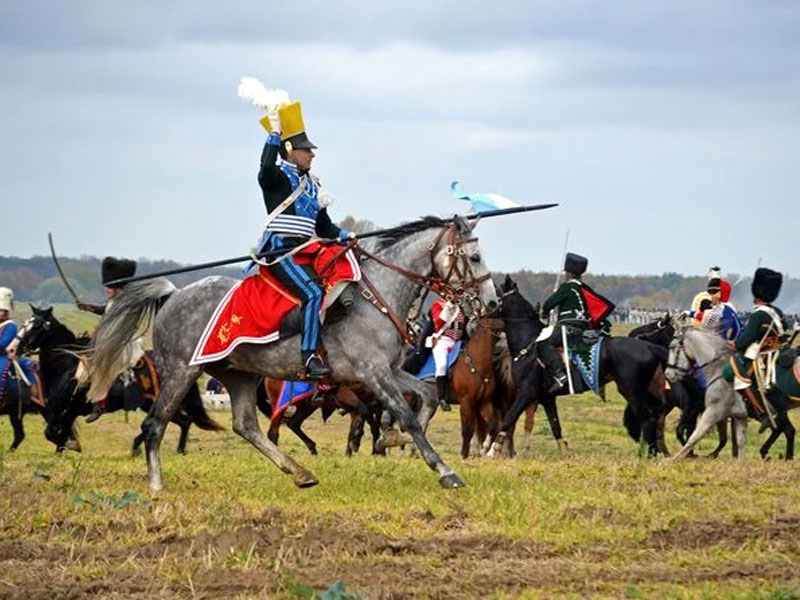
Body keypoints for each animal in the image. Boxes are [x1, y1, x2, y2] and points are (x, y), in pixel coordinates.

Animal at [17, 308, 223, 452]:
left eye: (36, 326)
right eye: (26, 324)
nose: (17, 347)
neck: (67, 367)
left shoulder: (68, 409)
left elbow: (52, 433)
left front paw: (70, 446)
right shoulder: (62, 410)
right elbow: (55, 432)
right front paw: (66, 447)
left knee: (178, 422)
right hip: (150, 403)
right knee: (181, 422)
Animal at [90, 218, 496, 490]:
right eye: (475, 256)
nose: (490, 303)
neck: (376, 296)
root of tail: (173, 295)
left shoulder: (388, 372)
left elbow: (427, 397)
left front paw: (391, 440)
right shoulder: (373, 373)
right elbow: (408, 416)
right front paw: (444, 470)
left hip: (238, 375)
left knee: (247, 426)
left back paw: (300, 473)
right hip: (181, 372)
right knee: (154, 423)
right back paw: (156, 485)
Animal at [490, 276, 664, 454]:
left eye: (496, 291)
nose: (482, 312)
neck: (529, 342)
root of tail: (648, 346)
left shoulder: (527, 393)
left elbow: (509, 418)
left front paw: (492, 450)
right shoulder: (546, 398)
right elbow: (555, 427)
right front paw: (565, 454)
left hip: (631, 391)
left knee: (647, 419)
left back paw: (647, 455)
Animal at [664, 324, 752, 460]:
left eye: (672, 347)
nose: (668, 374)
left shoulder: (709, 411)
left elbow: (693, 435)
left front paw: (678, 457)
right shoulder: (737, 414)